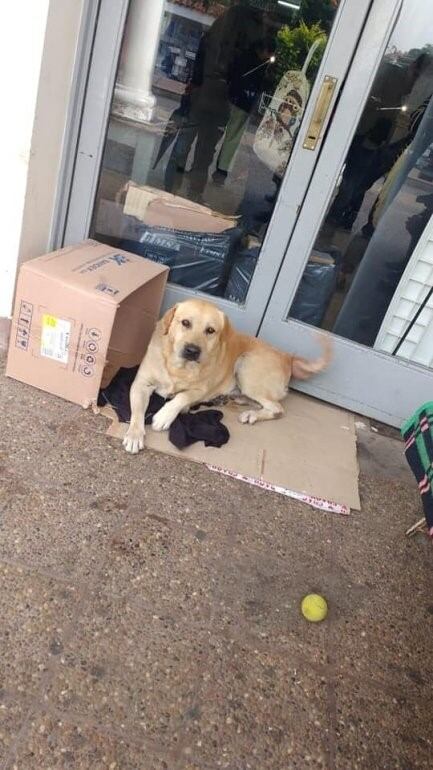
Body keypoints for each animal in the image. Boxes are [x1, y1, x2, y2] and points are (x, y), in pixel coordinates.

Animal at [122, 294, 330, 450]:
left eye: (210, 330)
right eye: (185, 323)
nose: (192, 350)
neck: (177, 367)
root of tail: (287, 357)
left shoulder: (200, 390)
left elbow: (182, 397)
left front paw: (164, 416)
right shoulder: (140, 384)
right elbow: (137, 412)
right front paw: (134, 434)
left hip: (246, 364)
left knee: (277, 408)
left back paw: (252, 414)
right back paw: (236, 401)